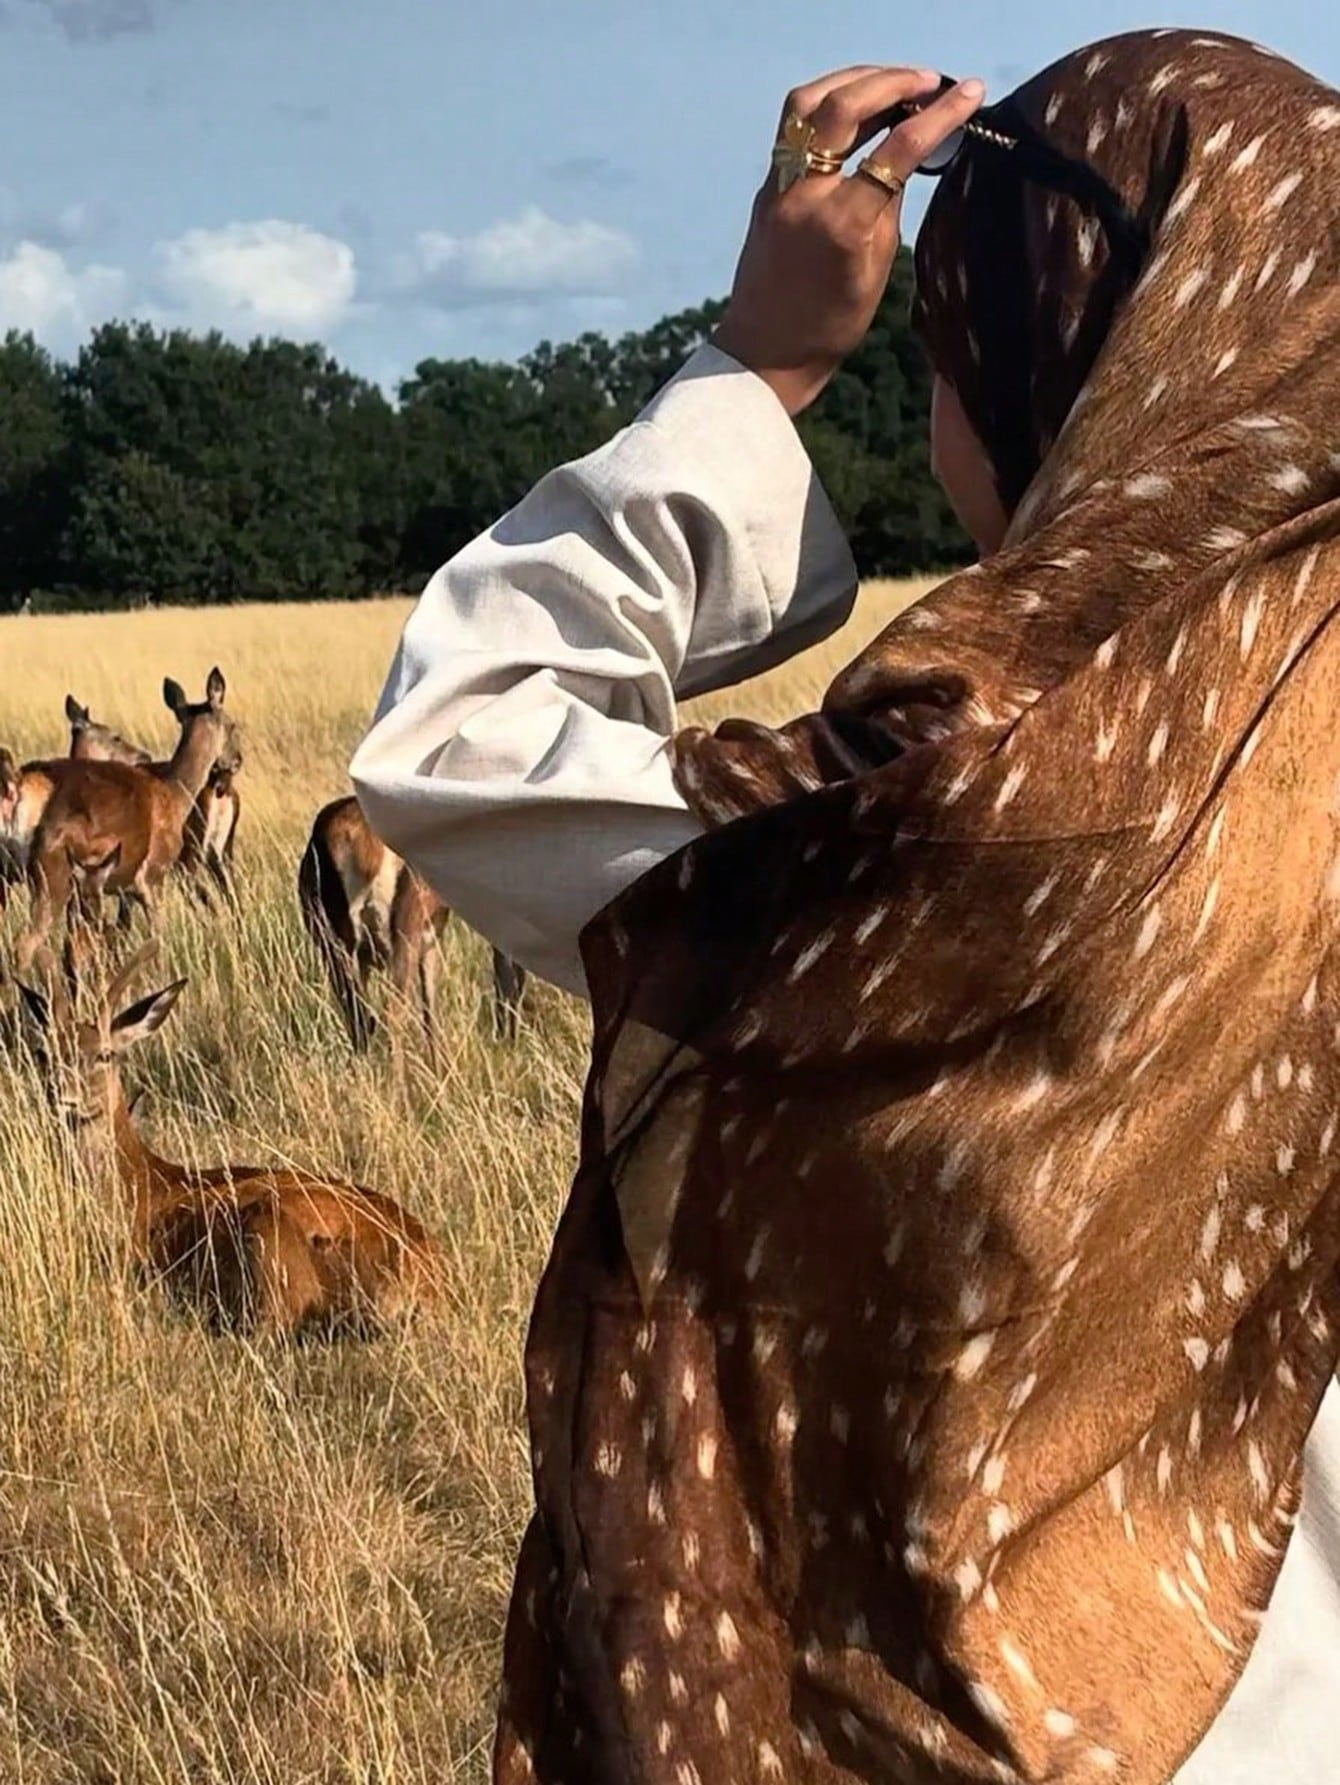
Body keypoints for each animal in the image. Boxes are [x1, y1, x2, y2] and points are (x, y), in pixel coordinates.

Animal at [17, 668, 241, 977]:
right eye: (231, 724)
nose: (236, 761)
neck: (175, 791)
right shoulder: (153, 876)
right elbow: (155, 940)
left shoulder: (127, 889)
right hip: (57, 882)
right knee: (27, 943)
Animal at [18, 930, 444, 1337]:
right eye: (42, 1053)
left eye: (104, 1055)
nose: (61, 1094)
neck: (138, 1184)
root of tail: (427, 1271)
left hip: (270, 1237)